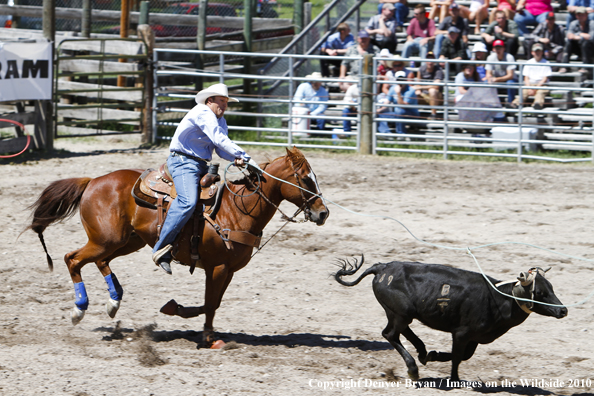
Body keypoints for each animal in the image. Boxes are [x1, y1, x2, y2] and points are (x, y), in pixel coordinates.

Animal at [26, 147, 328, 344]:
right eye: (305, 178)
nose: (323, 213)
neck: (235, 210)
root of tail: (92, 181)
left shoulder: (227, 270)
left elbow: (213, 303)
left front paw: (188, 318)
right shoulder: (217, 267)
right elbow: (209, 303)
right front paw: (202, 332)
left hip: (127, 241)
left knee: (100, 261)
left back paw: (114, 302)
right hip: (105, 240)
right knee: (72, 258)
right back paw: (79, 309)